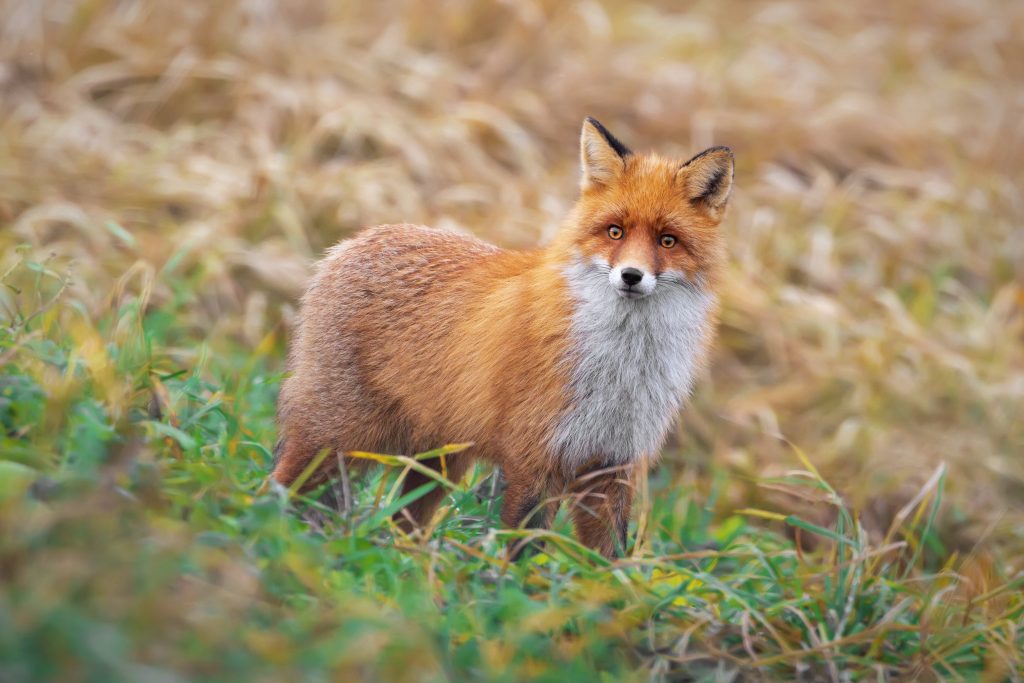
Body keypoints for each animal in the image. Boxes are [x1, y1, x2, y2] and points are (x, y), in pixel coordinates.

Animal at [271, 117, 733, 558]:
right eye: (615, 232)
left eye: (667, 240)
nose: (631, 276)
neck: (622, 367)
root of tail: (352, 241)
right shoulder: (534, 458)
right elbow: (522, 549)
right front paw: (510, 583)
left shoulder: (611, 464)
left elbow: (607, 559)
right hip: (335, 439)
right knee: (279, 486)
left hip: (436, 464)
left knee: (403, 523)